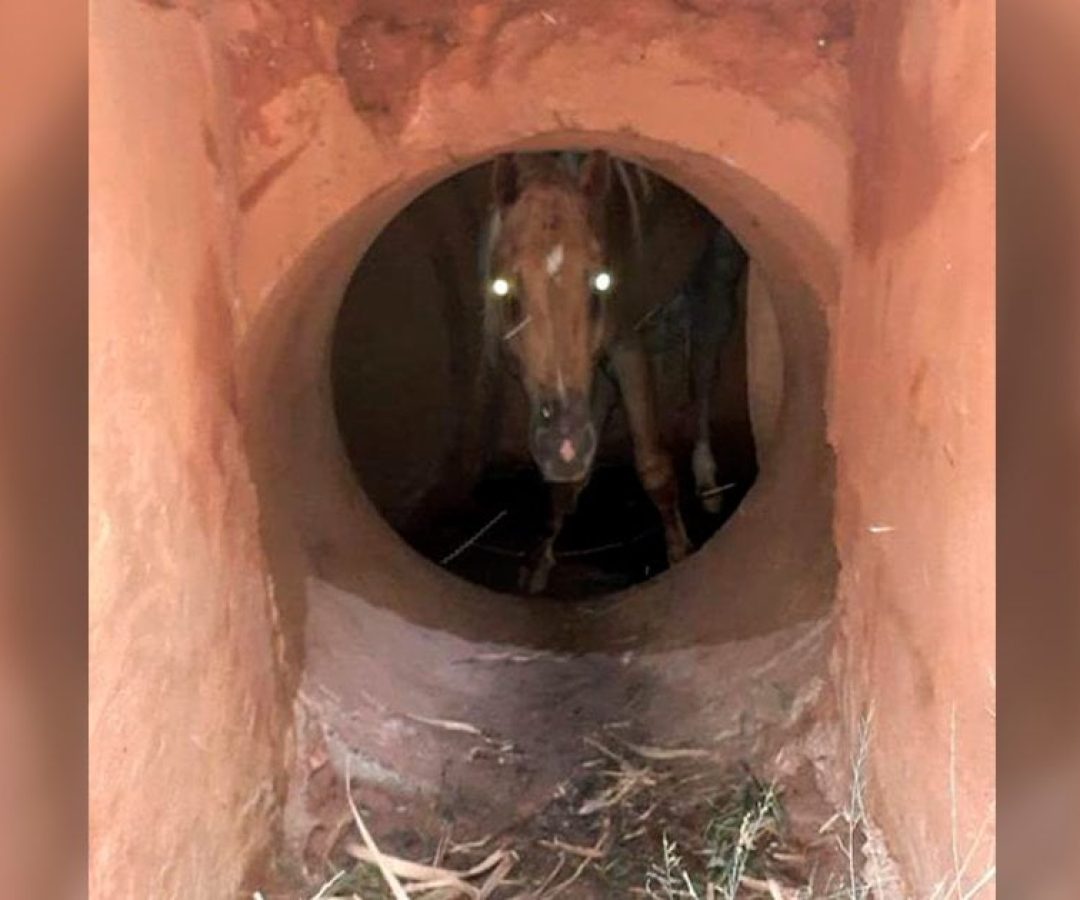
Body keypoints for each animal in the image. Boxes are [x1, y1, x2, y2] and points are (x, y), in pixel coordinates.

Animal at [480, 150, 746, 593]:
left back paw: (709, 483)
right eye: (506, 289)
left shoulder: (626, 344)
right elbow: (565, 469)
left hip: (716, 276)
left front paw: (679, 553)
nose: (564, 446)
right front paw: (538, 562)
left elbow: (653, 464)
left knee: (703, 373)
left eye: (601, 281)